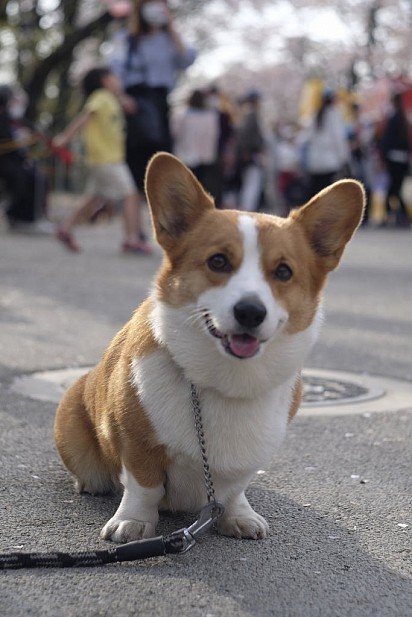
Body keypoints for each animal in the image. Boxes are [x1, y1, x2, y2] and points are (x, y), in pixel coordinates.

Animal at [54, 153, 364, 540]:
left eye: (283, 272)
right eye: (218, 261)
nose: (250, 312)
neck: (225, 383)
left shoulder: (247, 462)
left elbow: (234, 490)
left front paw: (238, 515)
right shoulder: (136, 442)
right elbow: (144, 486)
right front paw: (133, 522)